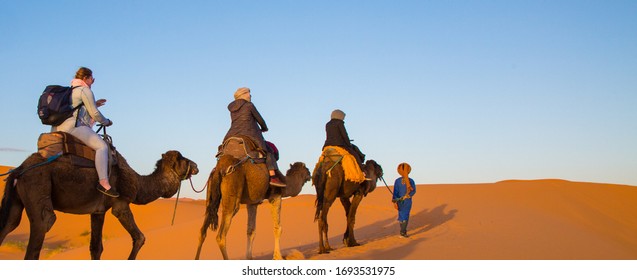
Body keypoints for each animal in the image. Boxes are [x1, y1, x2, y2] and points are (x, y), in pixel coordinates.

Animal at [0, 150, 198, 260]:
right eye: (182, 158)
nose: (196, 166)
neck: (138, 183)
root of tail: (19, 170)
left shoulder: (98, 211)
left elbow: (96, 248)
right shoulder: (120, 205)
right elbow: (140, 237)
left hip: (15, 201)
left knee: (10, 224)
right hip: (37, 185)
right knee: (44, 223)